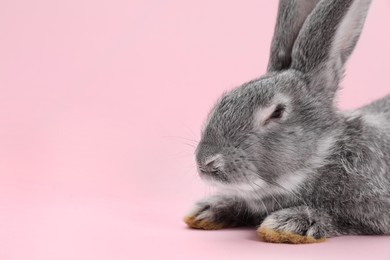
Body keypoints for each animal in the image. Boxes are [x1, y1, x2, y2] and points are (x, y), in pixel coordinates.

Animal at [184, 0, 390, 244]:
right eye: (225, 98)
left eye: (277, 113)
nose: (205, 161)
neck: (325, 154)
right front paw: (207, 209)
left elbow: (342, 219)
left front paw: (288, 224)